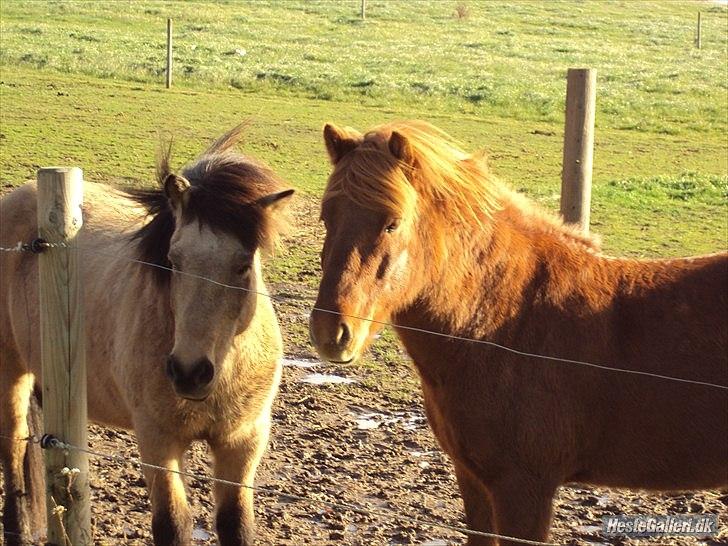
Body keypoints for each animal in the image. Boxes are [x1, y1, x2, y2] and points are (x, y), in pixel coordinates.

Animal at [1, 124, 296, 544]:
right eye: (173, 260)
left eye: (243, 266)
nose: (190, 372)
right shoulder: (158, 441)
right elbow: (172, 524)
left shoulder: (242, 441)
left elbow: (235, 524)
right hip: (11, 370)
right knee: (12, 448)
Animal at [308, 120, 728, 544]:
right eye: (327, 218)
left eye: (392, 223)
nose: (331, 333)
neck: (506, 322)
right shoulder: (473, 478)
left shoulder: (524, 486)